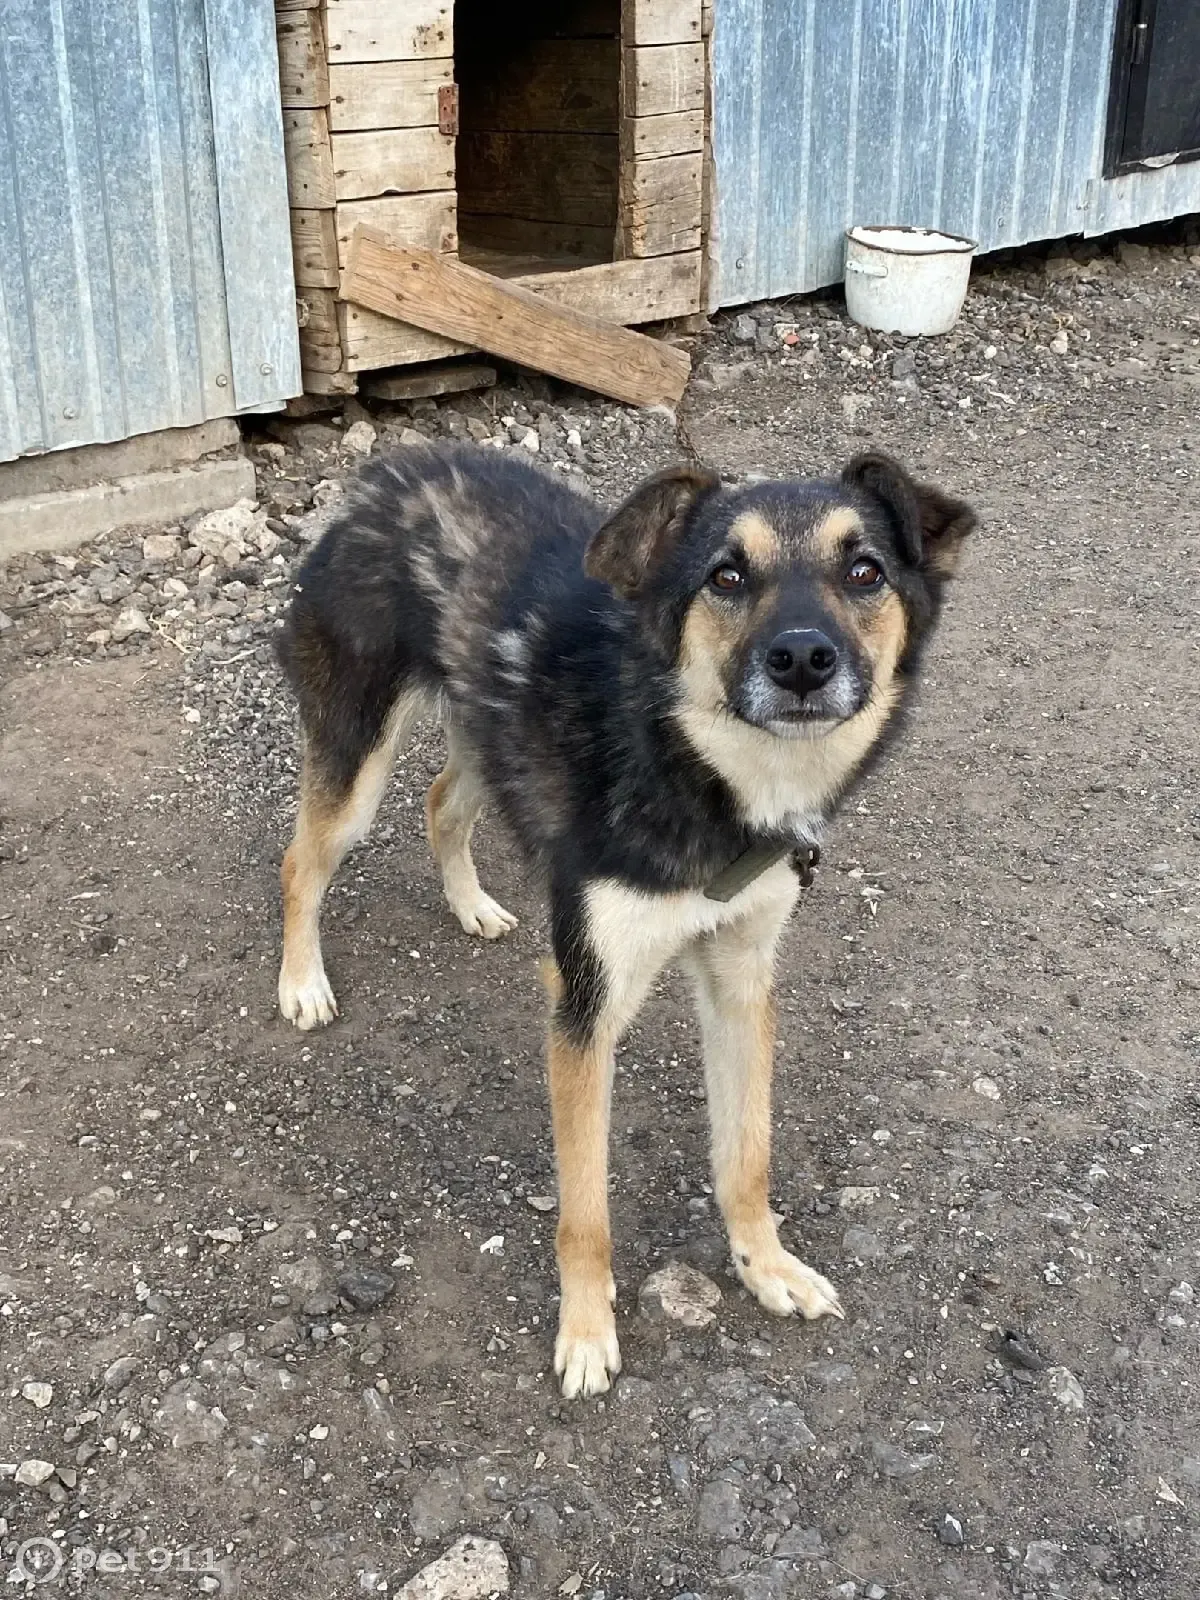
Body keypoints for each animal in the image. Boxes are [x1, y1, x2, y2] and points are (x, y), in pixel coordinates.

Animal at [275, 444, 979, 1395]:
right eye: (726, 576)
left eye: (865, 571)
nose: (802, 657)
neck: (693, 765)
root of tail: (387, 472)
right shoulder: (586, 1002)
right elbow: (586, 1211)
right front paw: (584, 1332)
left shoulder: (742, 980)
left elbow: (747, 1156)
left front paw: (766, 1266)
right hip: (358, 753)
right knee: (303, 862)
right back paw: (302, 981)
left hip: (485, 730)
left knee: (440, 806)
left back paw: (473, 906)